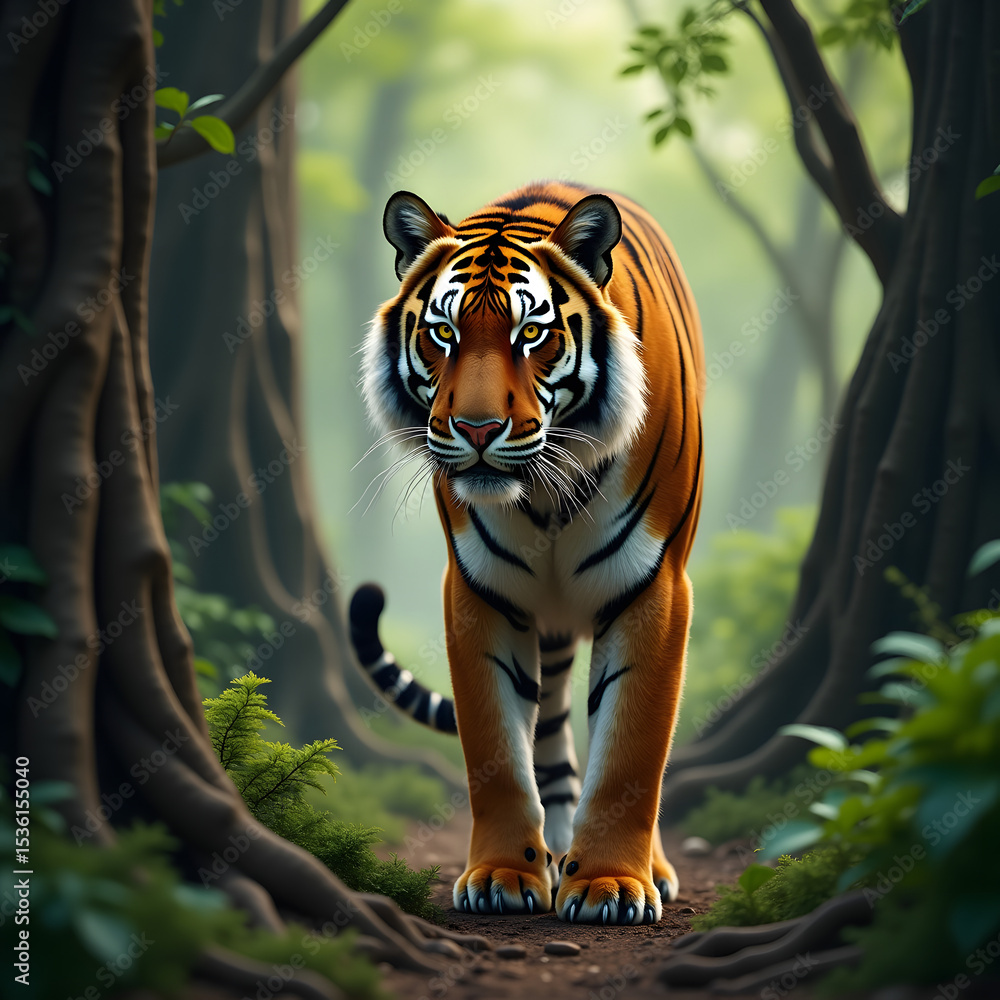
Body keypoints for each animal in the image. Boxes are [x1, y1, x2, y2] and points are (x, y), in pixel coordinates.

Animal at [350, 180, 704, 925]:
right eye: (444, 333)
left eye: (531, 333)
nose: (478, 428)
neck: (544, 491)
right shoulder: (481, 593)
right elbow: (498, 754)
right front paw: (504, 876)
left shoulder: (654, 586)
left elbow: (631, 753)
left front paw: (609, 883)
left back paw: (639, 869)